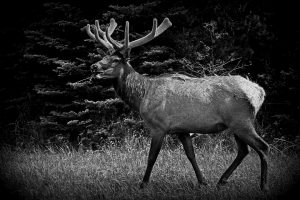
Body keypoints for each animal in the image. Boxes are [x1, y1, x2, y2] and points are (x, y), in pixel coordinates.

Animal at [82, 18, 270, 191]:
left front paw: (143, 184)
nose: (94, 66)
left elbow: (151, 157)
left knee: (263, 147)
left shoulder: (159, 126)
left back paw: (263, 185)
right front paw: (203, 182)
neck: (143, 96)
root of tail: (259, 92)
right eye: (103, 56)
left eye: (115, 59)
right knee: (244, 150)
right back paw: (222, 180)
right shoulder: (182, 129)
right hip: (236, 124)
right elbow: (191, 155)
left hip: (241, 121)